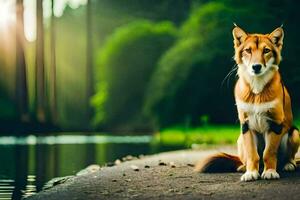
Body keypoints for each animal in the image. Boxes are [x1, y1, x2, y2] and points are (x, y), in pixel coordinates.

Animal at [195, 25, 300, 181]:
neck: (256, 88)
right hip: (240, 139)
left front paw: (270, 171)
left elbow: (269, 152)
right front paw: (251, 172)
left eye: (266, 50)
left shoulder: (275, 123)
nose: (256, 67)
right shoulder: (246, 125)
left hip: (294, 133)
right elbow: (252, 153)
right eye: (248, 50)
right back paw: (243, 167)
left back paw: (288, 164)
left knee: (289, 156)